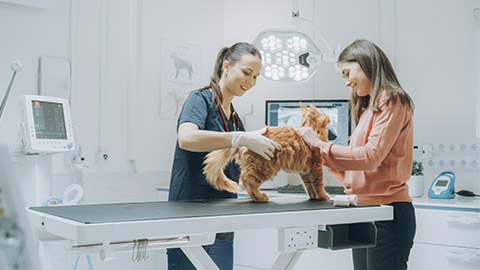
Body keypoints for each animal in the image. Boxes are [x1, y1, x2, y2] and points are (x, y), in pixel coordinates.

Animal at [202, 104, 330, 201]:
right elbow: (318, 184)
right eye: (324, 112)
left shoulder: (305, 171)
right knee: (246, 179)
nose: (328, 116)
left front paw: (314, 197)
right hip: (264, 168)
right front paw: (323, 196)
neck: (312, 129)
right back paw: (259, 197)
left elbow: (309, 186)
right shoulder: (316, 166)